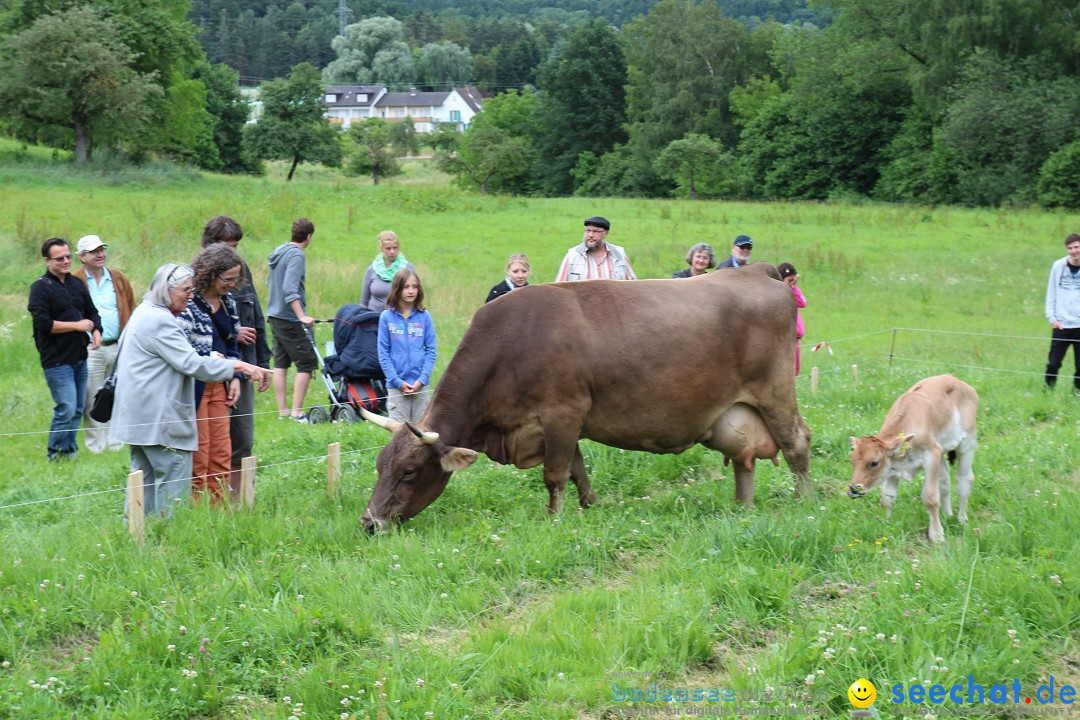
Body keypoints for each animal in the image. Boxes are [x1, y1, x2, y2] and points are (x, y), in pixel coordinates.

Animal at [360, 267, 812, 533]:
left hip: (774, 391)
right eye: (380, 465)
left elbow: (556, 474)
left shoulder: (562, 412)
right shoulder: (557, 424)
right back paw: (742, 508)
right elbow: (577, 470)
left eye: (409, 471)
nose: (369, 522)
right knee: (744, 458)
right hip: (734, 412)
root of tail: (758, 271)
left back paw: (806, 503)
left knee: (796, 442)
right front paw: (590, 506)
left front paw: (554, 519)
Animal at [851, 375, 980, 544]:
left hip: (967, 444)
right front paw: (885, 525)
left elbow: (930, 498)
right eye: (852, 460)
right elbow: (887, 498)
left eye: (874, 462)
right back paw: (947, 516)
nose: (853, 488)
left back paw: (962, 519)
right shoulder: (893, 469)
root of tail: (958, 381)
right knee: (945, 483)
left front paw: (937, 535)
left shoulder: (931, 455)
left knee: (964, 480)